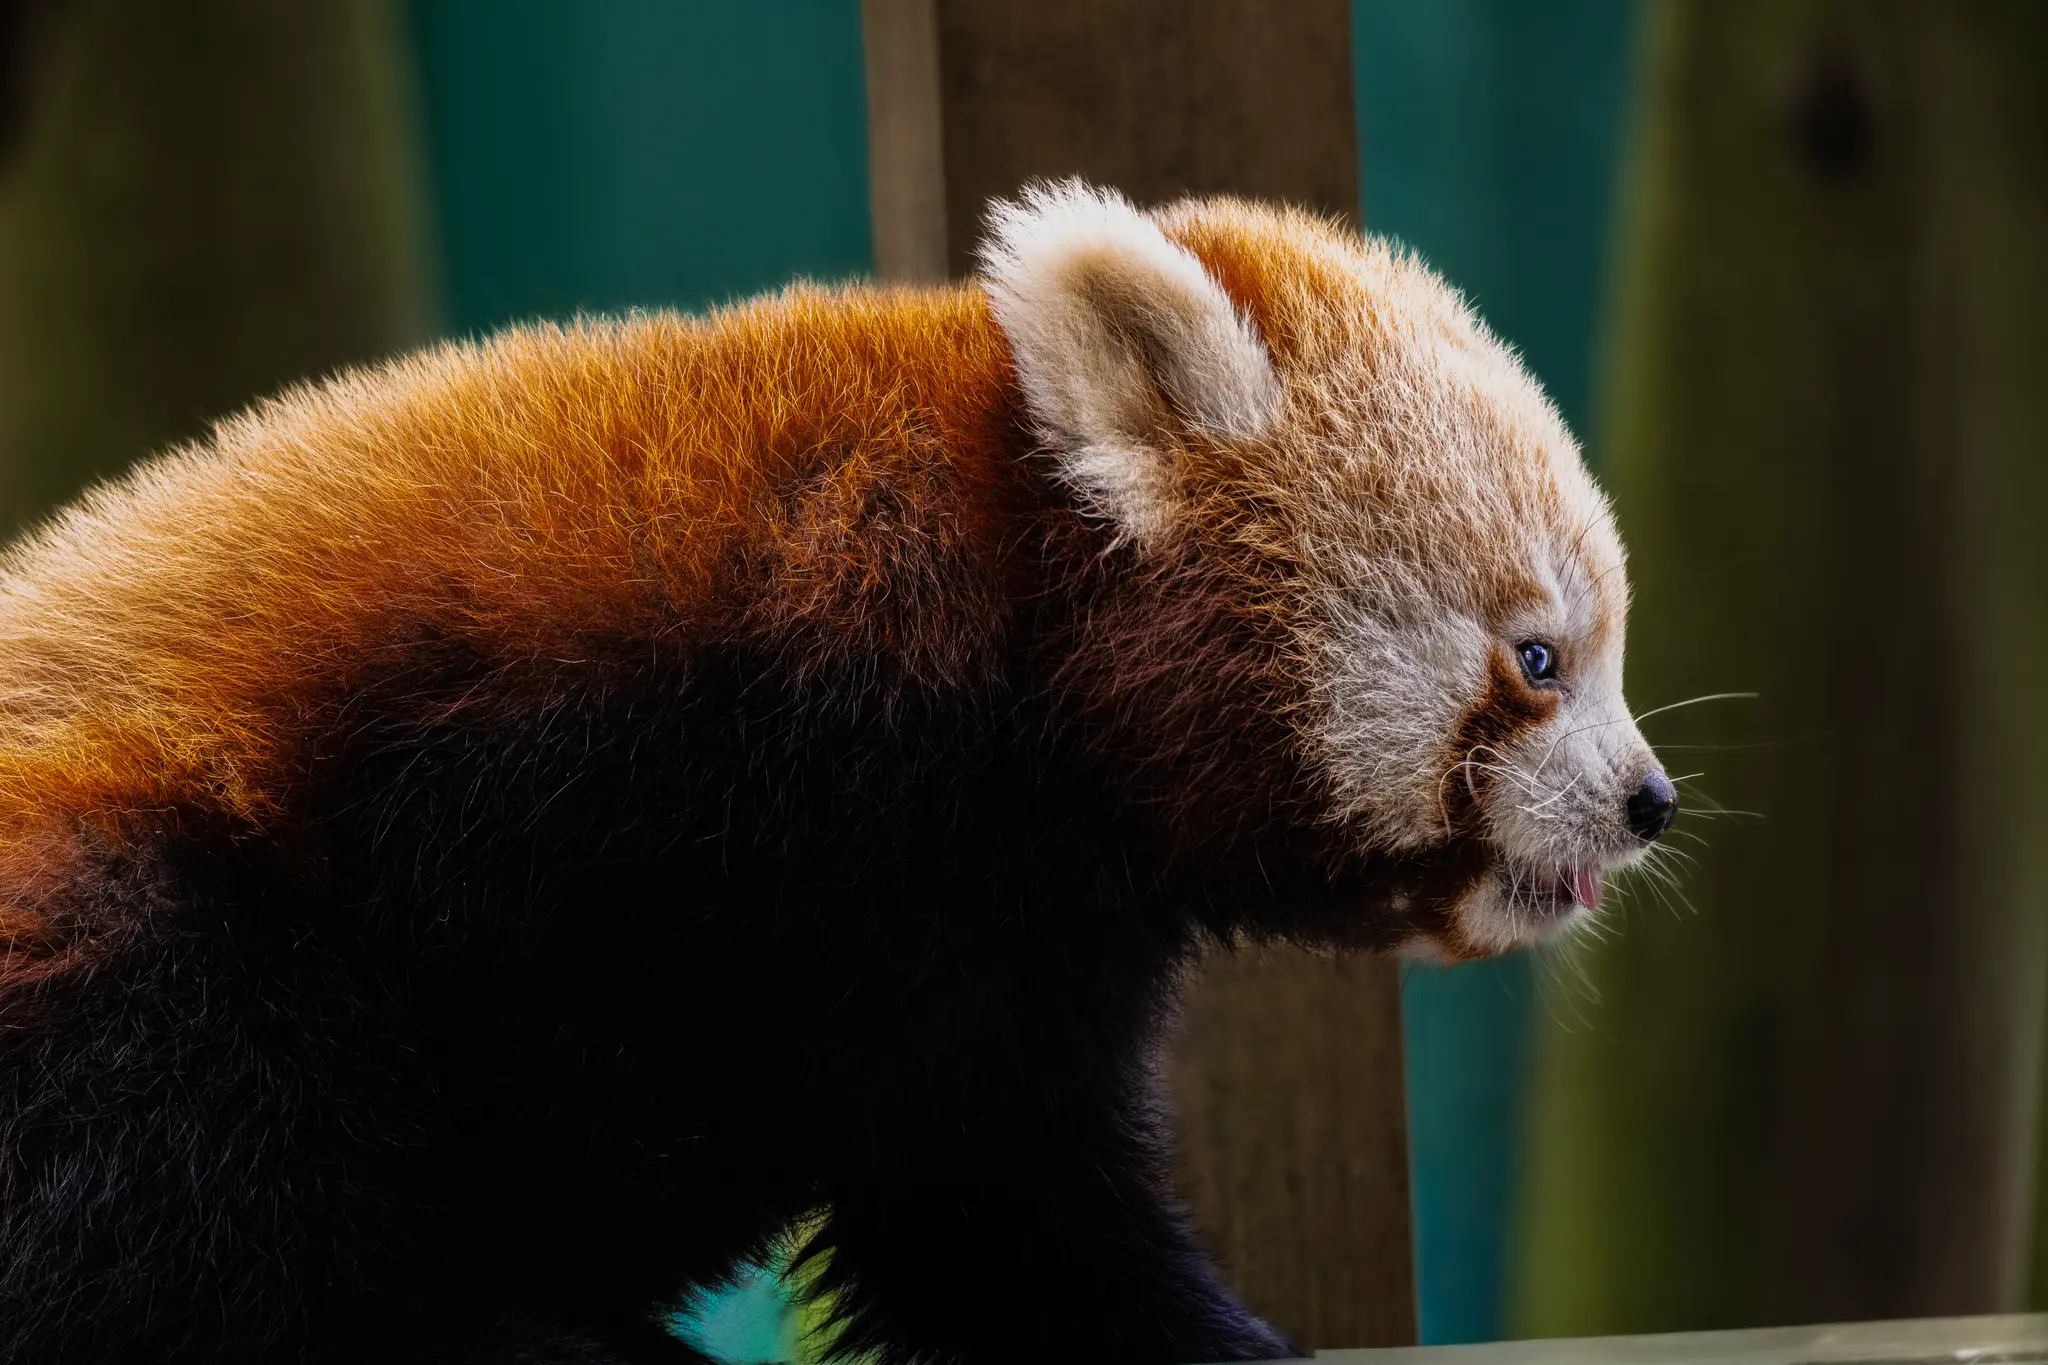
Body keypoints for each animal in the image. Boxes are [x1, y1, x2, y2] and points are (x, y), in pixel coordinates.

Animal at [0, 182, 1672, 1364]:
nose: (1650, 800)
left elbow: (975, 1187)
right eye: (1540, 659)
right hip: (123, 894)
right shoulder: (618, 775)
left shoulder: (987, 928)